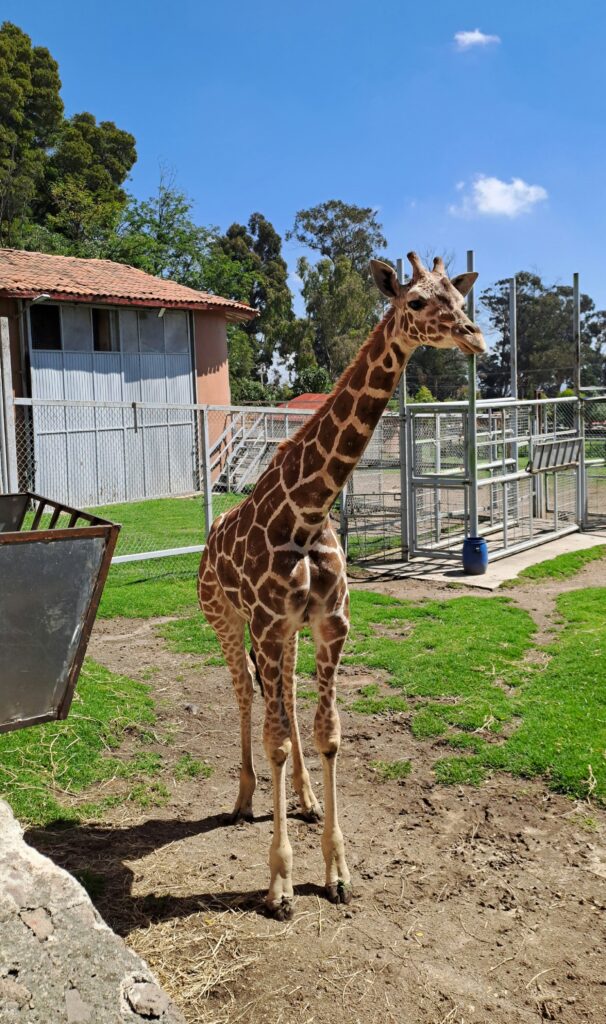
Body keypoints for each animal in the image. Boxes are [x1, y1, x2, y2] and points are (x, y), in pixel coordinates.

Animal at [198, 252, 486, 919]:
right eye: (415, 302)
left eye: (460, 300)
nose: (474, 337)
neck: (307, 512)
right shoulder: (268, 624)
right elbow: (277, 738)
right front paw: (280, 884)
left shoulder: (328, 625)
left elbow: (326, 734)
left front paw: (337, 871)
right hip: (226, 619)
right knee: (247, 695)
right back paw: (244, 798)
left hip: (284, 636)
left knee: (285, 697)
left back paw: (303, 799)